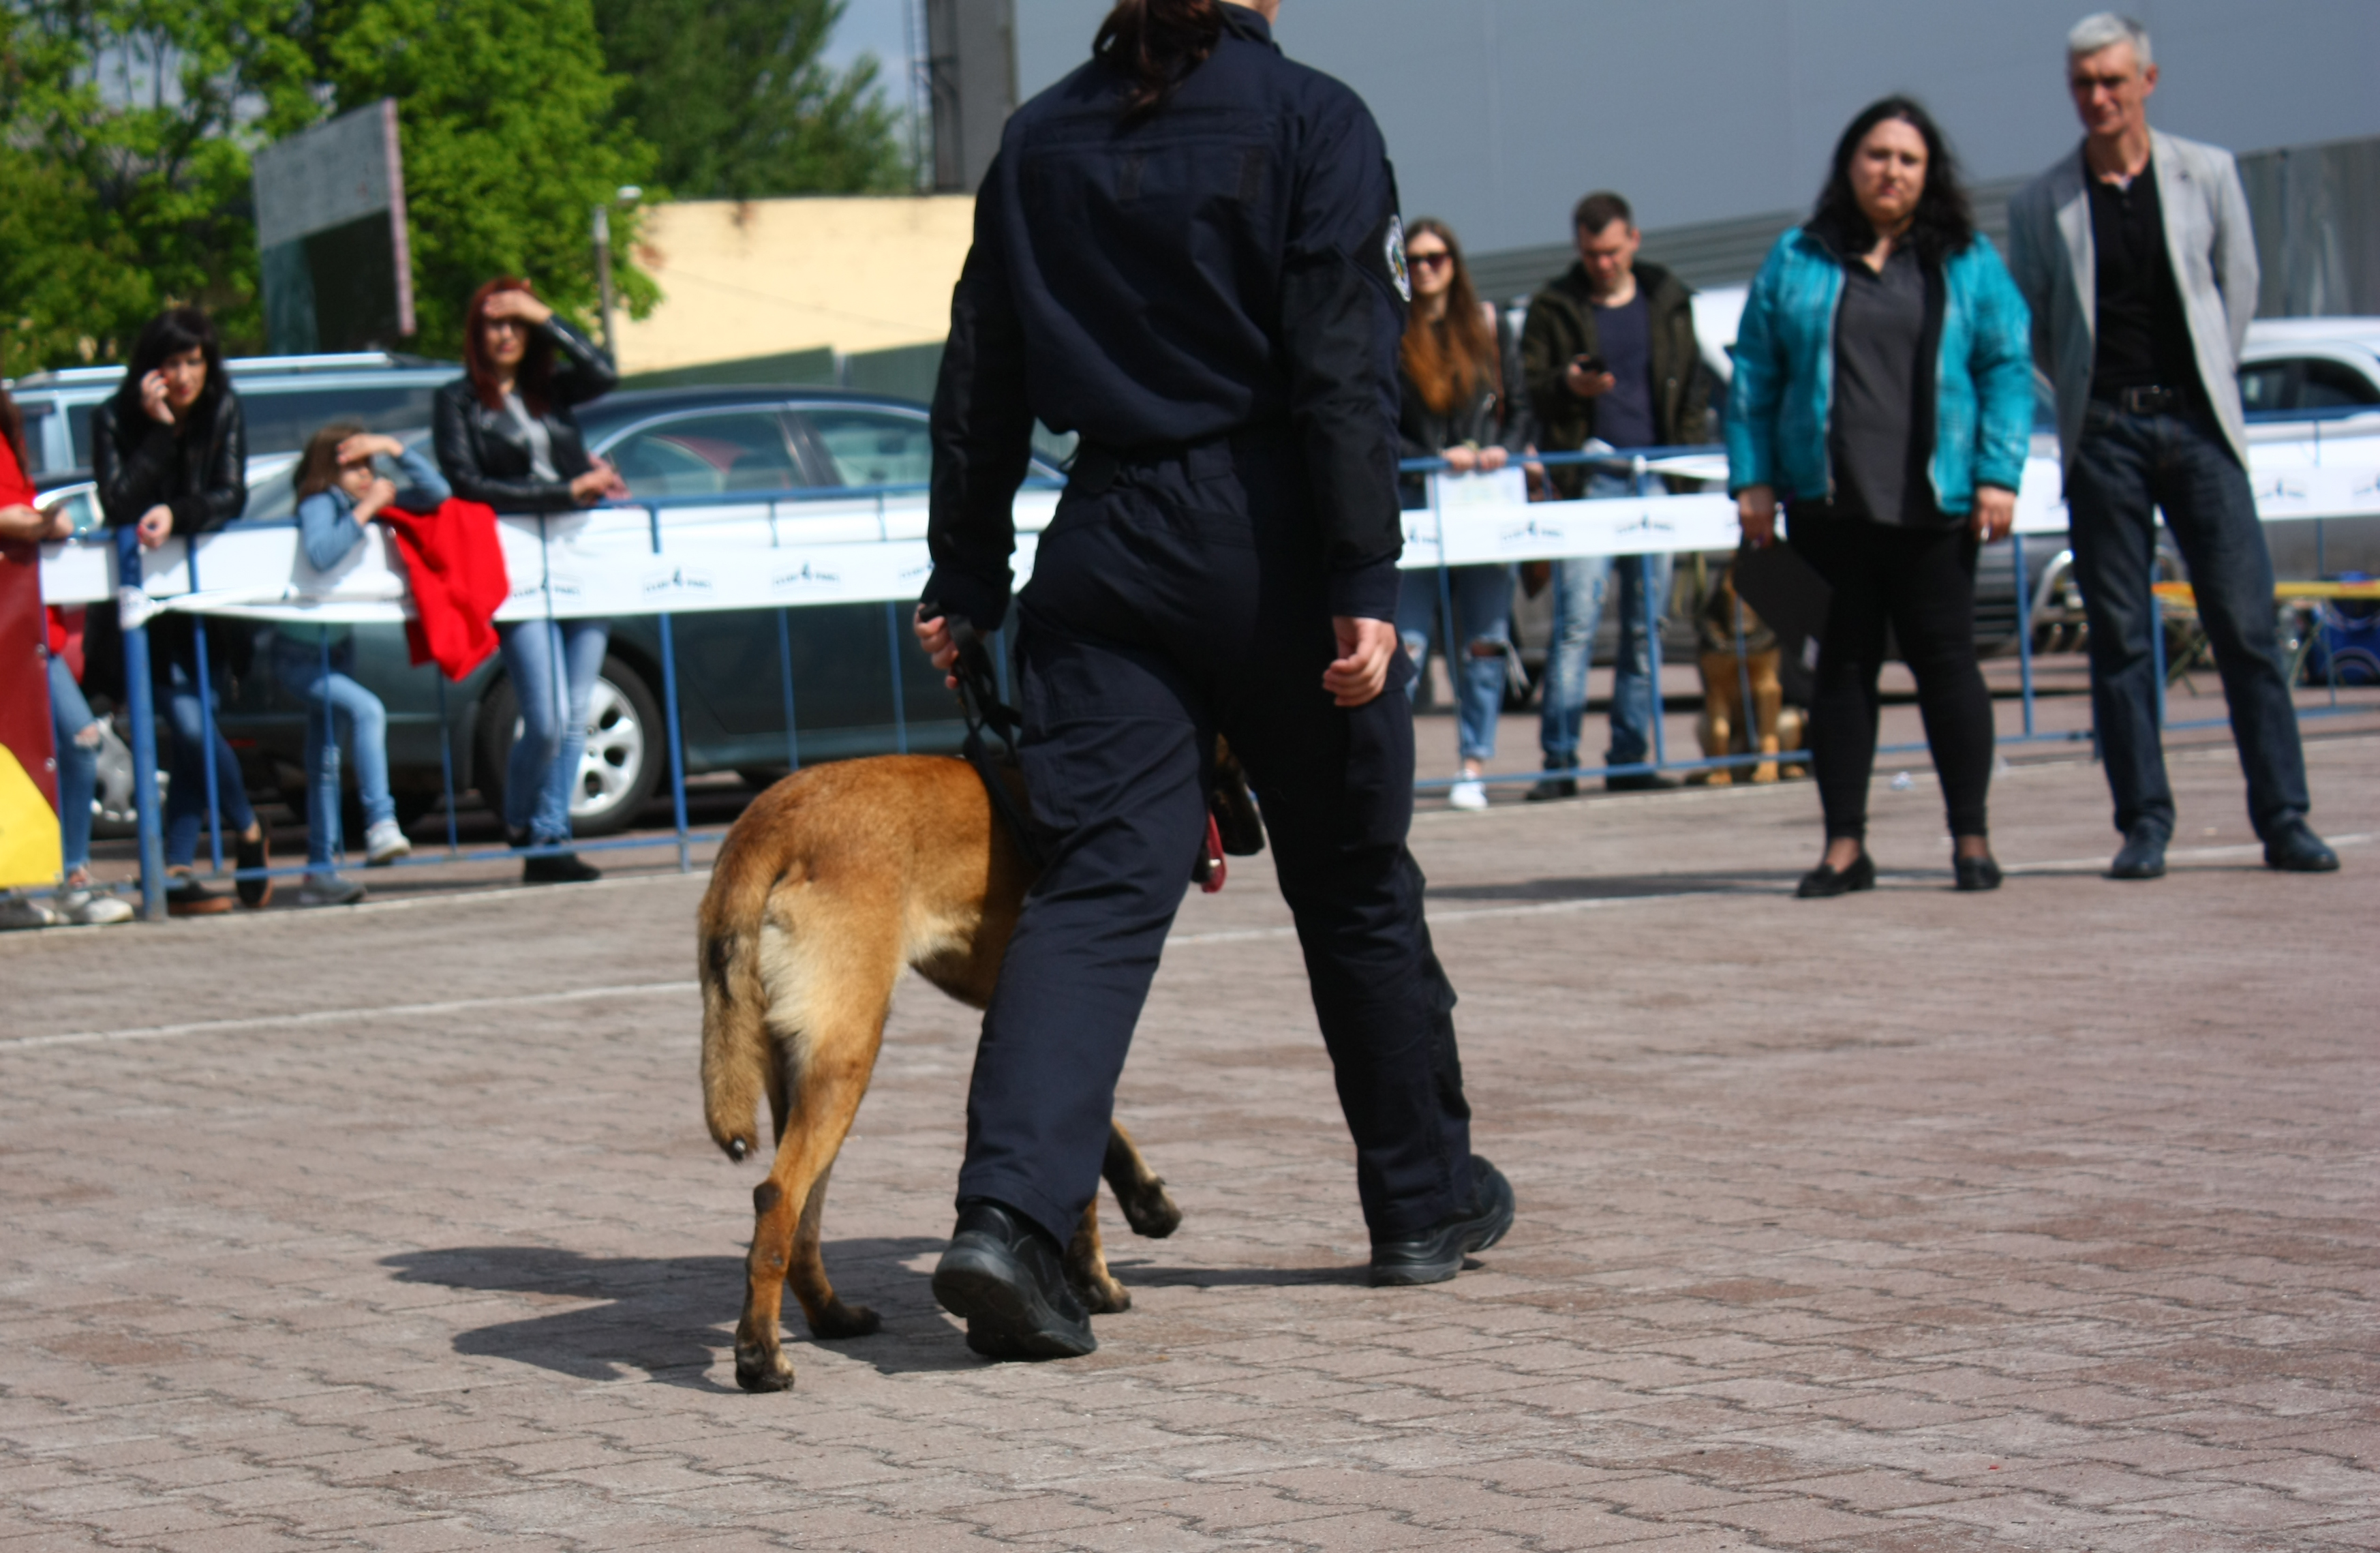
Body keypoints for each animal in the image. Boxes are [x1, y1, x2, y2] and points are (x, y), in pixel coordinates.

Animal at [698, 742, 1263, 1393]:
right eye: (1236, 765)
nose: (1258, 836)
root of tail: (770, 820)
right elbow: (1083, 1173)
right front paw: (1098, 1281)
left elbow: (1092, 1131)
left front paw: (1144, 1201)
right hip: (847, 1058)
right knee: (777, 1199)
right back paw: (760, 1355)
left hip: (804, 1072)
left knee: (804, 1222)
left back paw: (832, 1317)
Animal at [1694, 561, 1804, 786]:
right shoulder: (1716, 689)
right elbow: (1720, 735)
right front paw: (1720, 776)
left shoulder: (1768, 686)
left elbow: (1767, 736)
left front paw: (1766, 772)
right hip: (1701, 723)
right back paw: (1712, 773)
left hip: (1790, 718)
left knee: (1784, 751)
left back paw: (1789, 769)